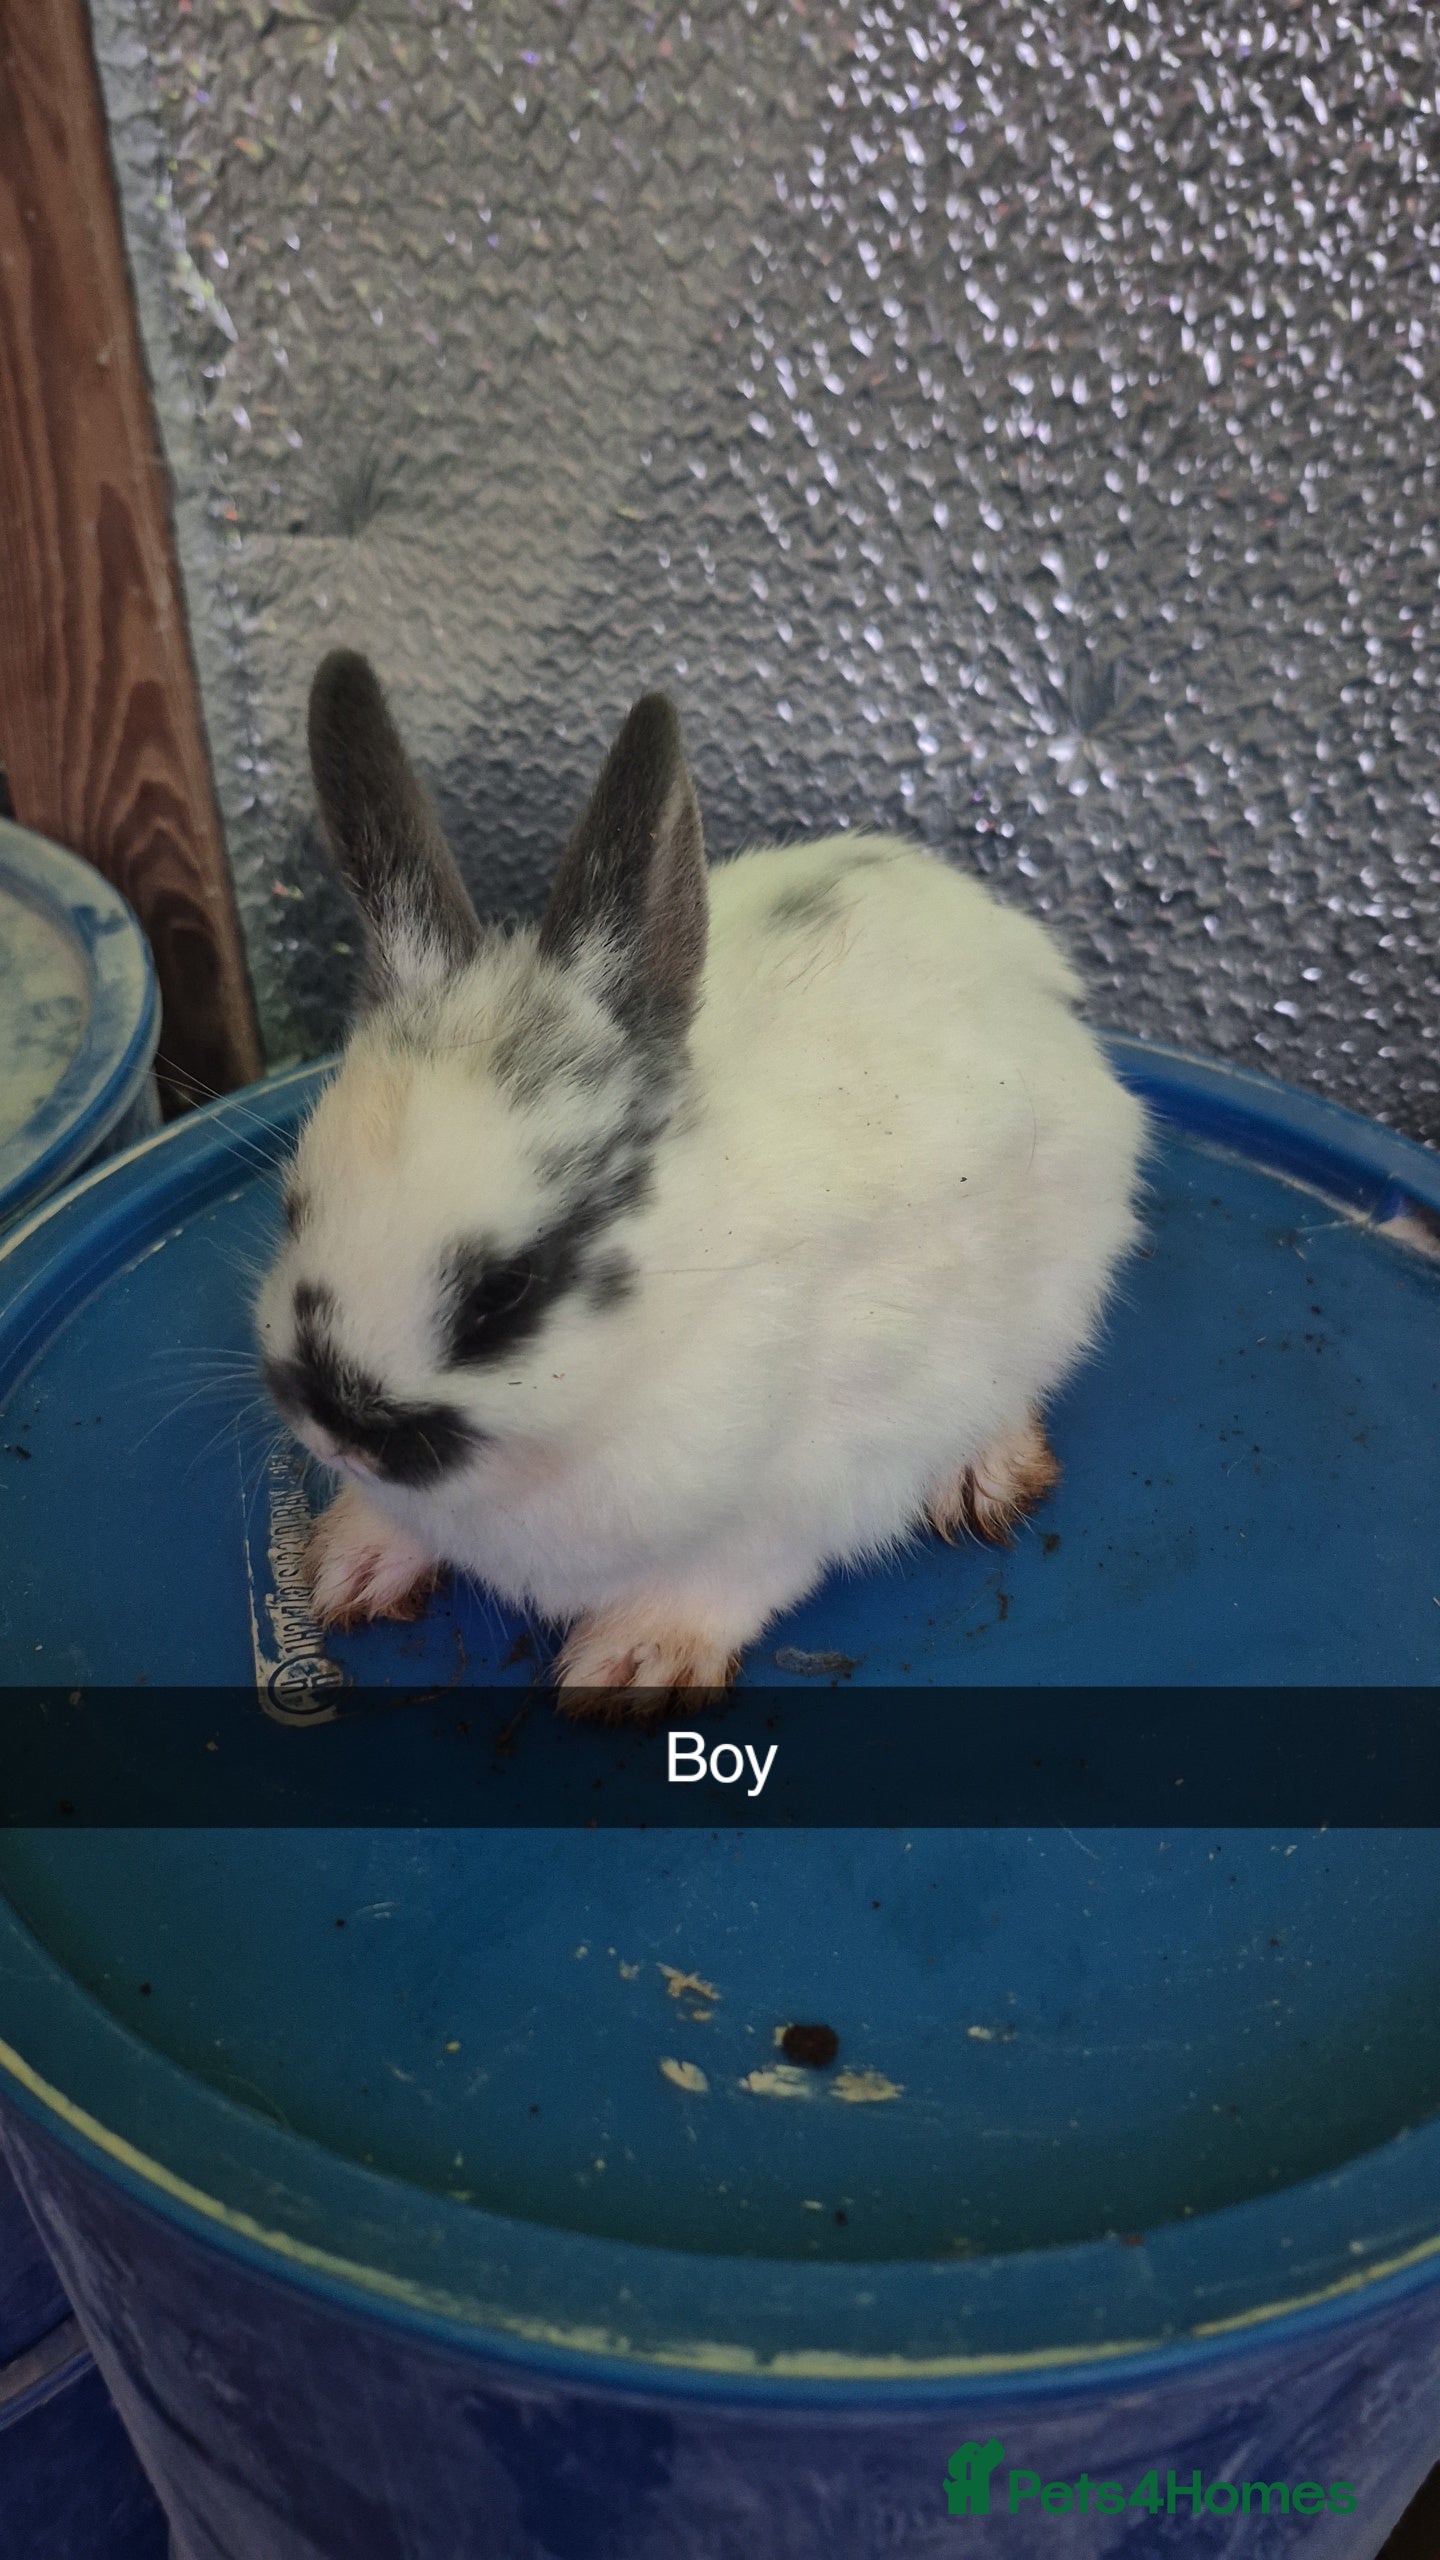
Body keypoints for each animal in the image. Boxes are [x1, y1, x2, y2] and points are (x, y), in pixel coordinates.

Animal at [256, 650, 1147, 1710]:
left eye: (506, 1288)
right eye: (292, 1208)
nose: (340, 1433)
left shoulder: (810, 1488)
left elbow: (731, 1575)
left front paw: (637, 1660)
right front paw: (343, 1566)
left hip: (1063, 1280)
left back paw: (984, 1472)